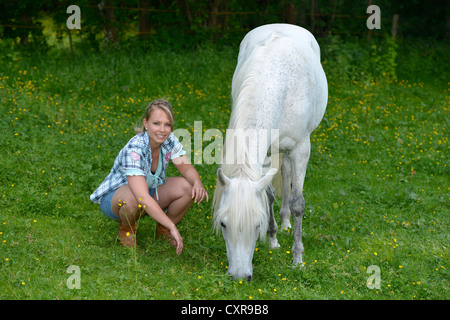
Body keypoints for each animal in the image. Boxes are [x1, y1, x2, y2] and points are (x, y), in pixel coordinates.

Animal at [211, 23, 326, 282]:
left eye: (256, 225)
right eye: (223, 224)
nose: (240, 277)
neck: (276, 84)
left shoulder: (301, 149)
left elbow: (298, 203)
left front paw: (298, 258)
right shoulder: (265, 152)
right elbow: (269, 194)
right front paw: (273, 239)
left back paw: (286, 224)